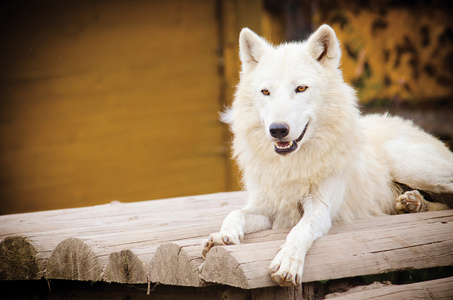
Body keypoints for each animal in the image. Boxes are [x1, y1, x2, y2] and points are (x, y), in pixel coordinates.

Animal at [202, 24, 452, 288]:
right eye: (266, 92)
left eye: (301, 88)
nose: (277, 129)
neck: (291, 166)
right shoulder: (267, 209)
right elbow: (235, 213)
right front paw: (223, 236)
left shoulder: (320, 210)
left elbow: (300, 230)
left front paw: (287, 262)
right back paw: (413, 203)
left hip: (407, 164)